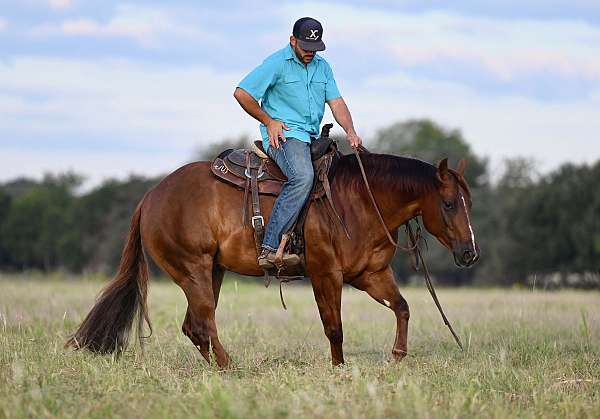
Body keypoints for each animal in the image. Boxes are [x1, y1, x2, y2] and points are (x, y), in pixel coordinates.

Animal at [67, 153, 478, 368]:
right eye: (448, 203)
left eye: (468, 202)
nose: (469, 252)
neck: (359, 200)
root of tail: (150, 197)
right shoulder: (325, 275)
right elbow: (335, 328)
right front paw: (339, 369)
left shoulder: (370, 274)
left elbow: (403, 307)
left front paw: (397, 356)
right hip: (192, 271)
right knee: (204, 322)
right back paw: (230, 368)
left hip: (212, 271)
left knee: (193, 326)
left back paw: (219, 369)